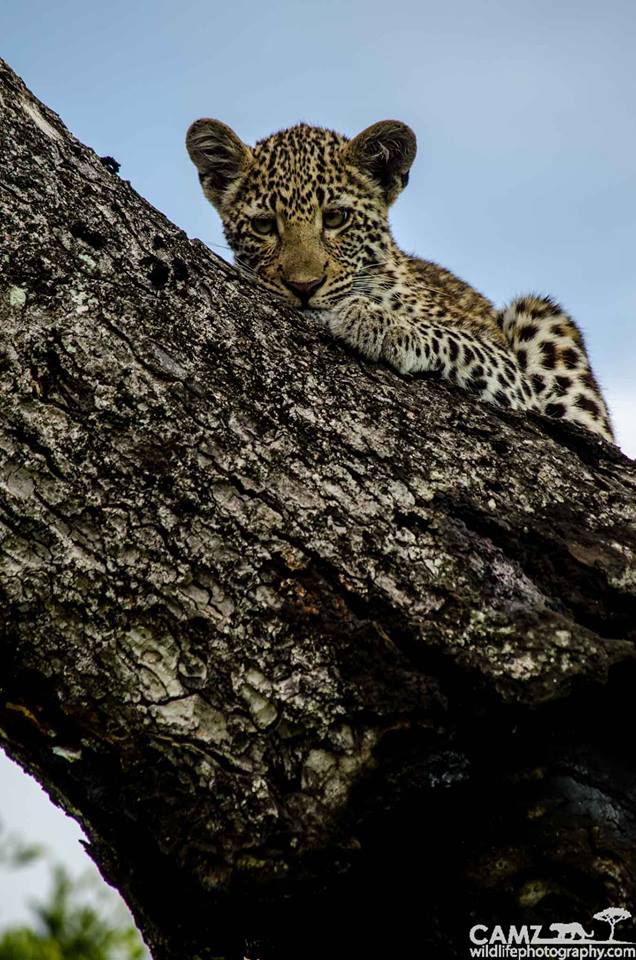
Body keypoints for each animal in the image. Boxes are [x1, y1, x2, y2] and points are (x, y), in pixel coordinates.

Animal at [185, 117, 614, 442]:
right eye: (263, 226)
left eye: (336, 218)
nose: (303, 287)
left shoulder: (508, 371)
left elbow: (456, 340)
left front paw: (378, 322)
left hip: (541, 316)